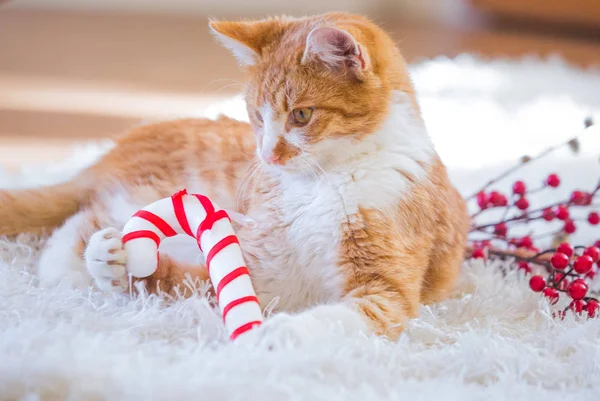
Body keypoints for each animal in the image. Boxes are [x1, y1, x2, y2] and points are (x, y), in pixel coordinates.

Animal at [0, 12, 468, 340]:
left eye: (301, 115)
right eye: (257, 116)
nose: (267, 154)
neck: (324, 182)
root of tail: (114, 151)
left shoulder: (386, 286)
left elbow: (358, 314)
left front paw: (283, 333)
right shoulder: (262, 267)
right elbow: (192, 283)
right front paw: (115, 263)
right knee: (83, 214)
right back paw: (73, 266)